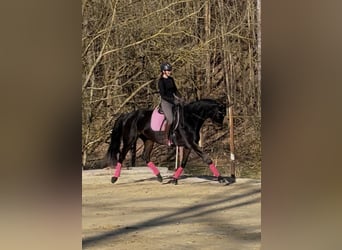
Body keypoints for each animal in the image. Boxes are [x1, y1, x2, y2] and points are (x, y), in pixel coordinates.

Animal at [107, 98, 235, 185]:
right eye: (221, 113)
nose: (220, 127)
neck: (190, 119)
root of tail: (127, 115)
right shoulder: (191, 144)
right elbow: (207, 158)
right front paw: (221, 179)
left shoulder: (188, 146)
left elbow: (183, 163)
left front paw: (174, 179)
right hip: (130, 139)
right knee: (122, 156)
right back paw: (114, 178)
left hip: (149, 140)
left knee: (145, 156)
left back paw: (159, 177)